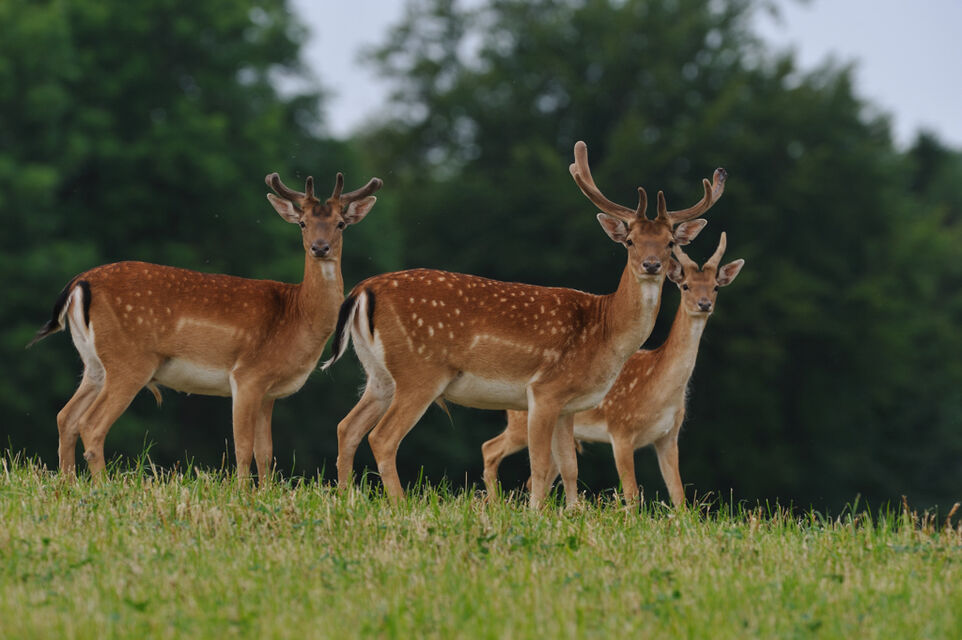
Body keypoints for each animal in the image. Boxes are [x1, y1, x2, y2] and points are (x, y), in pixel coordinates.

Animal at [27, 171, 381, 480]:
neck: (297, 317)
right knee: (91, 424)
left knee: (66, 417)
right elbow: (243, 448)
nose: (319, 247)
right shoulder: (248, 375)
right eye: (303, 222)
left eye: (340, 223)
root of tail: (78, 284)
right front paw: (242, 495)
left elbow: (266, 452)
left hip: (94, 363)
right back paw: (102, 488)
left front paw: (265, 493)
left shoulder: (269, 393)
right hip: (128, 362)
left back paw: (69, 485)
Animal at [482, 233, 744, 506]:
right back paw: (495, 503)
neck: (659, 390)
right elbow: (632, 494)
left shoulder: (668, 436)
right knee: (490, 449)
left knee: (533, 476)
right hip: (521, 420)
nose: (704, 304)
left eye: (715, 287)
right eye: (685, 286)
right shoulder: (621, 429)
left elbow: (679, 496)